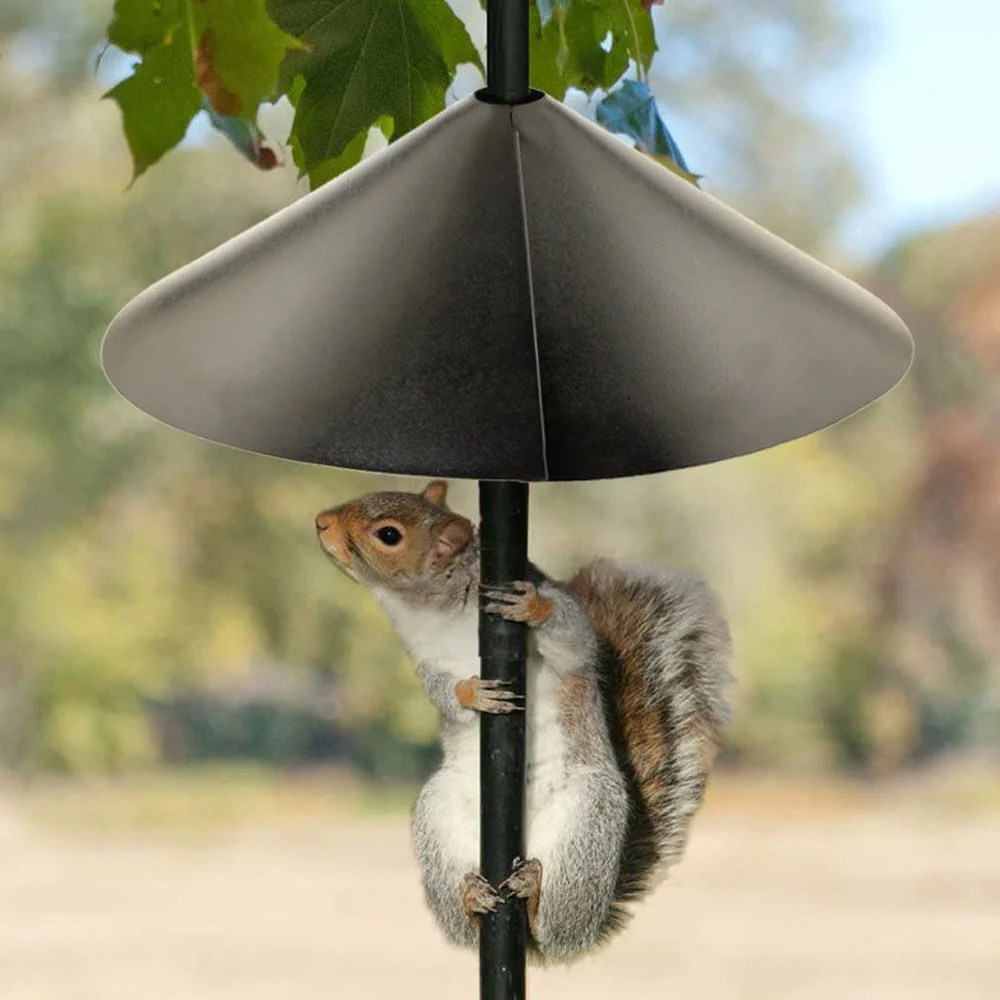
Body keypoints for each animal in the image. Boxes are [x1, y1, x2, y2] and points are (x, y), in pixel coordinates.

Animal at [315, 480, 732, 964]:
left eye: (388, 535)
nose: (321, 522)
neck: (433, 608)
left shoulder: (567, 631)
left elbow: (575, 639)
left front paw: (533, 607)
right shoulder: (426, 661)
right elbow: (441, 691)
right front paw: (472, 695)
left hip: (587, 821)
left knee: (554, 927)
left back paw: (534, 896)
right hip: (439, 815)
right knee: (467, 928)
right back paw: (472, 900)